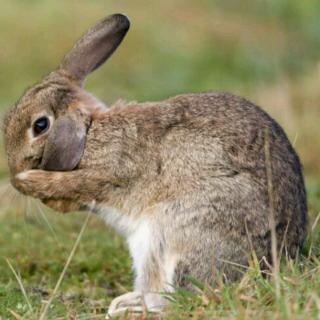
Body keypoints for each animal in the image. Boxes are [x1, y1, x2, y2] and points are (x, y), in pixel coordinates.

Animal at [2, 12, 308, 318]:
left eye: (40, 125)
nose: (14, 170)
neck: (91, 131)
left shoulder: (110, 173)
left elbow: (74, 185)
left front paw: (29, 181)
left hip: (178, 235)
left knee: (182, 295)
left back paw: (130, 308)